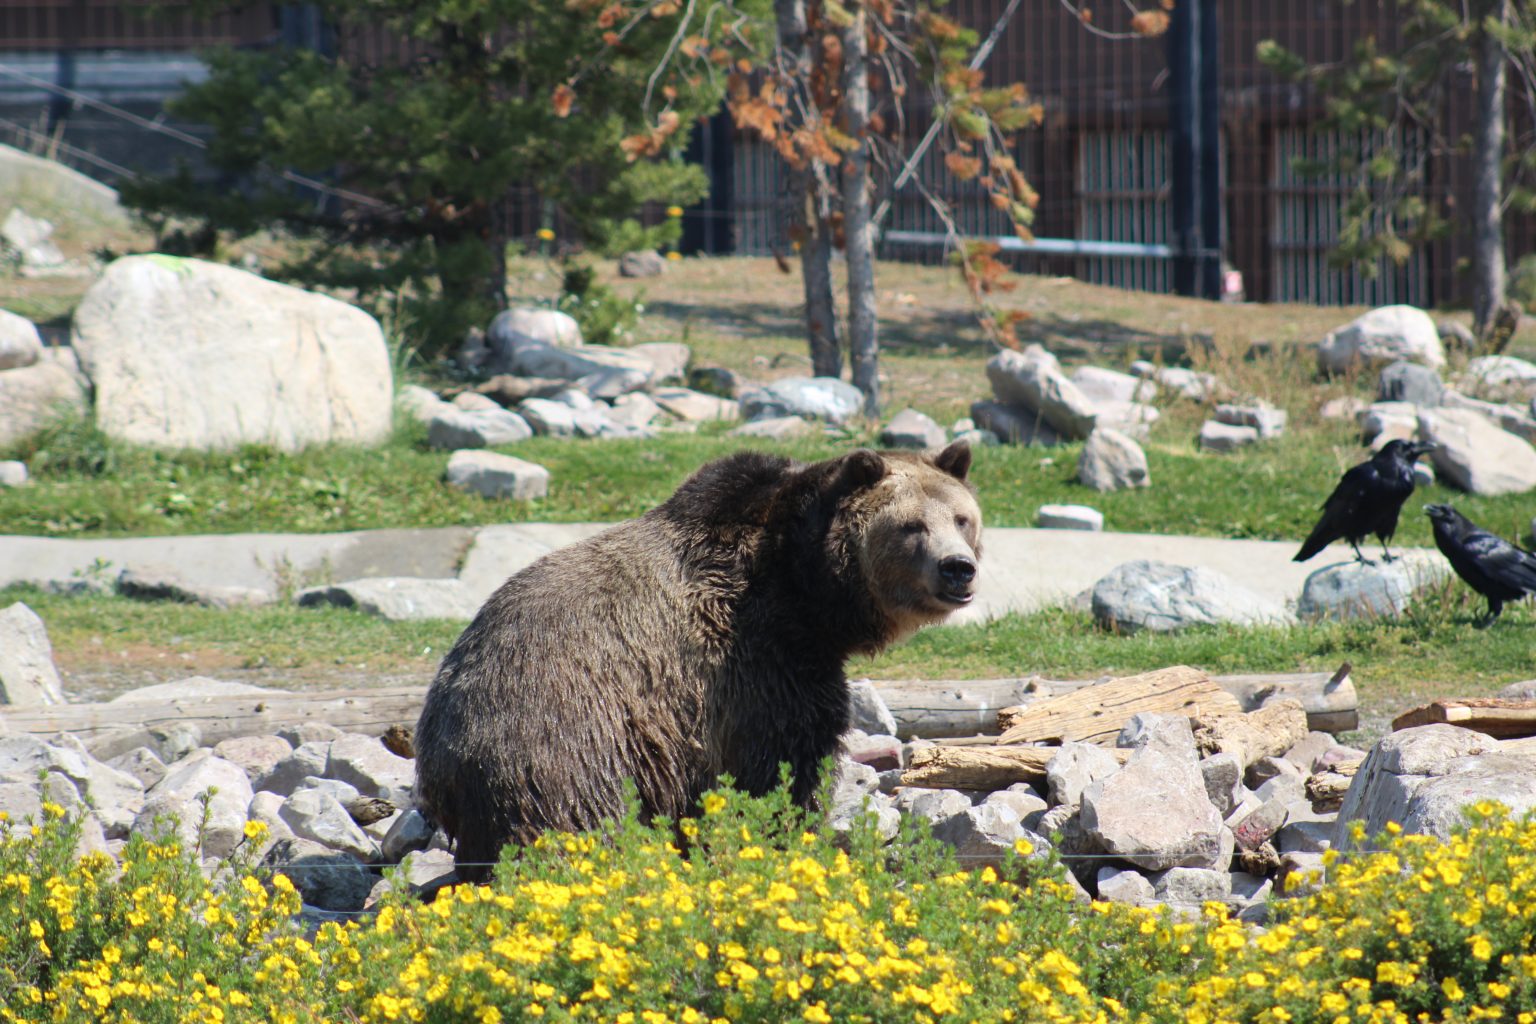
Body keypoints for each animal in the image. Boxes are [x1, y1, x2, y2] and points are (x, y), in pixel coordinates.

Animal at [414, 442, 976, 884]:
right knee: (576, 824)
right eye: (910, 525)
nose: (958, 568)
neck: (805, 587)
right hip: (565, 736)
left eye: (962, 518)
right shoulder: (755, 659)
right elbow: (783, 764)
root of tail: (437, 747)